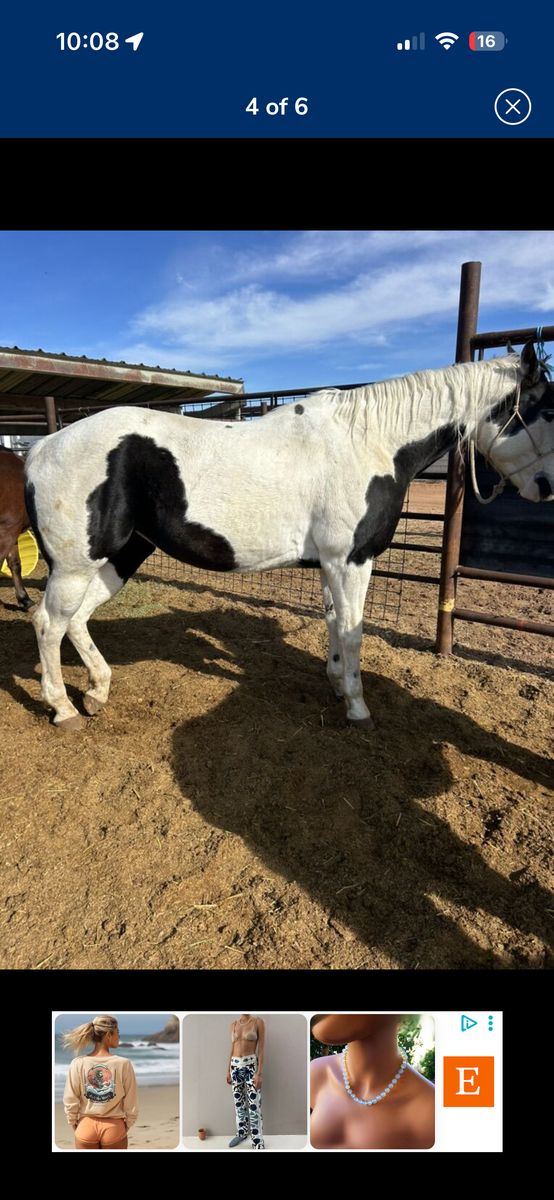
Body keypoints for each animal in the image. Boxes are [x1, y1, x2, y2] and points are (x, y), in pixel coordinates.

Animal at [24, 341, 554, 731]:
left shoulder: (330, 565)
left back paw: (96, 691)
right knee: (48, 623)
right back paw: (63, 709)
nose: (547, 488)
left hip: (121, 554)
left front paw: (337, 684)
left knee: (76, 621)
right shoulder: (352, 560)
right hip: (76, 565)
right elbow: (352, 630)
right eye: (547, 409)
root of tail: (43, 445)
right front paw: (357, 708)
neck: (368, 442)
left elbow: (335, 624)